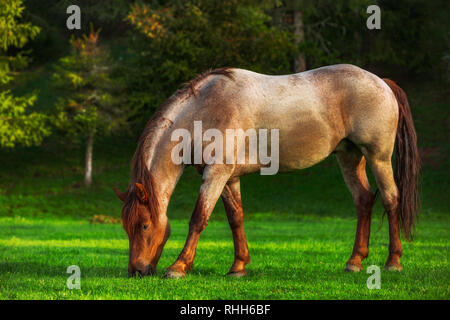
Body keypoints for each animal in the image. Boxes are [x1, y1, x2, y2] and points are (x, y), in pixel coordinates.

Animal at [114, 64, 420, 278]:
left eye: (143, 225)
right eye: (126, 227)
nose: (137, 271)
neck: (205, 110)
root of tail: (382, 83)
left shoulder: (216, 174)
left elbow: (198, 218)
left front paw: (178, 266)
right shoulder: (229, 178)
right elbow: (235, 218)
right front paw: (238, 266)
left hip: (378, 158)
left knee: (391, 199)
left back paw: (393, 262)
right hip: (349, 157)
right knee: (364, 200)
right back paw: (354, 261)